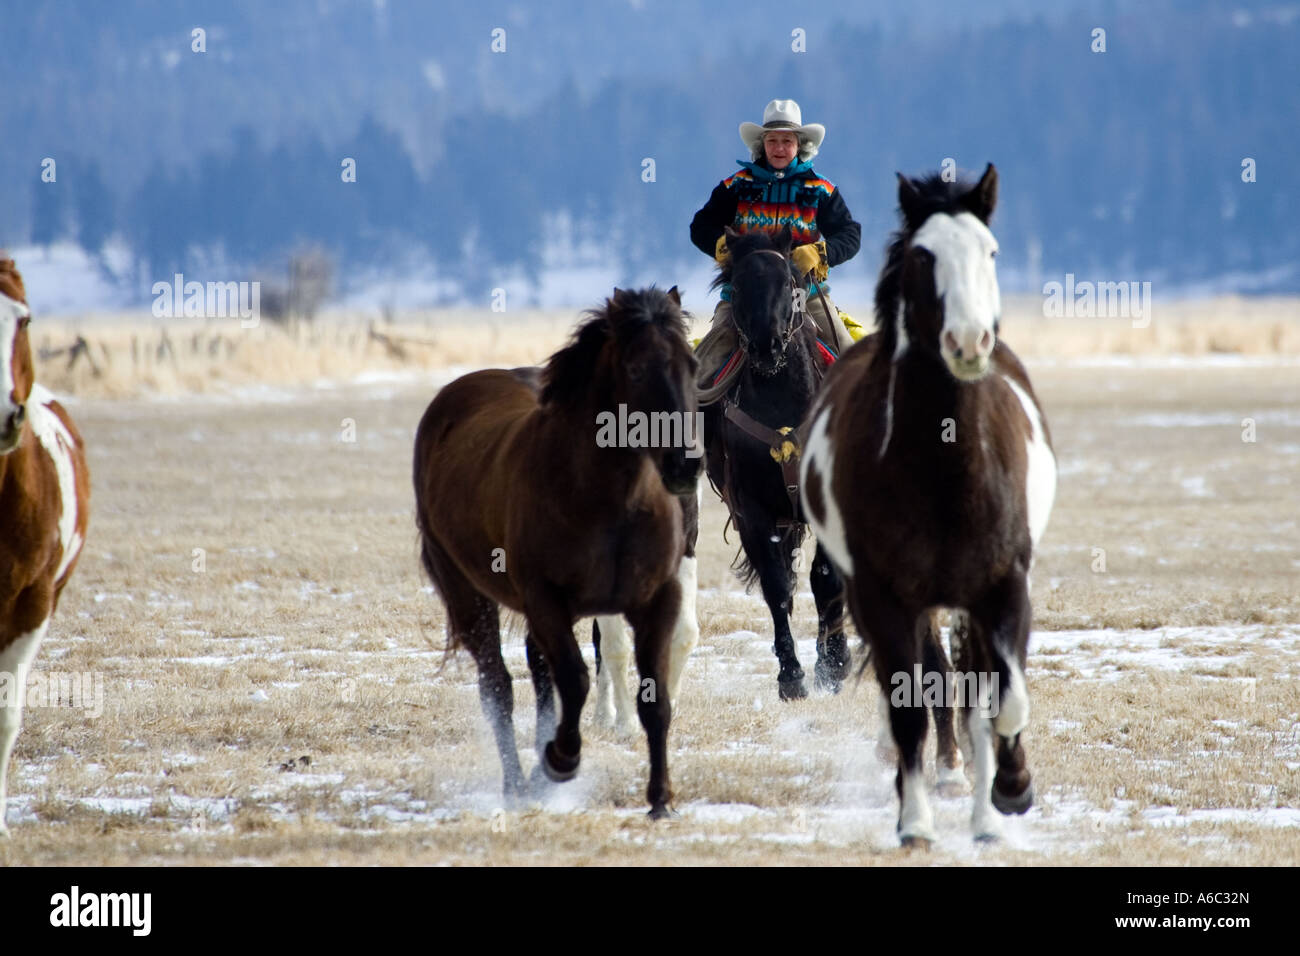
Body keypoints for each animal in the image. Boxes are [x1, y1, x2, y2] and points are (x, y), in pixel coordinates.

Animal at [702, 225, 850, 700]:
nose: (766, 346)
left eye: (789, 281)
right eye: (738, 285)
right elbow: (776, 585)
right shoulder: (752, 511)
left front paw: (833, 665)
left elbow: (825, 579)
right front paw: (791, 676)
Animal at [801, 165, 1056, 845]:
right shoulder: (884, 597)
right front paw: (914, 820)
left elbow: (1003, 696)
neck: (946, 472)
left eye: (990, 252)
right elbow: (910, 704)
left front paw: (1011, 791)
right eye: (923, 256)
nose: (968, 341)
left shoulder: (1003, 586)